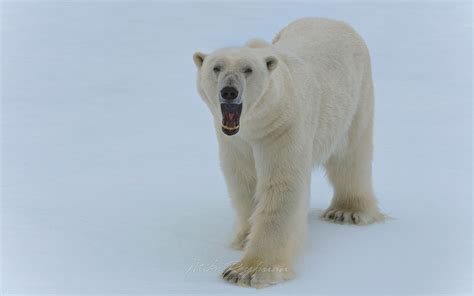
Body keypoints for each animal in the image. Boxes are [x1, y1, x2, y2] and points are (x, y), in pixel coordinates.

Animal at [192, 17, 382, 286]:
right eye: (216, 67)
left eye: (248, 69)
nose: (229, 91)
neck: (255, 124)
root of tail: (333, 21)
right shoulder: (235, 142)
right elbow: (243, 182)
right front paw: (244, 237)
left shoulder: (282, 128)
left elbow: (281, 187)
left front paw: (247, 271)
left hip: (357, 97)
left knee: (351, 155)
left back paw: (348, 211)